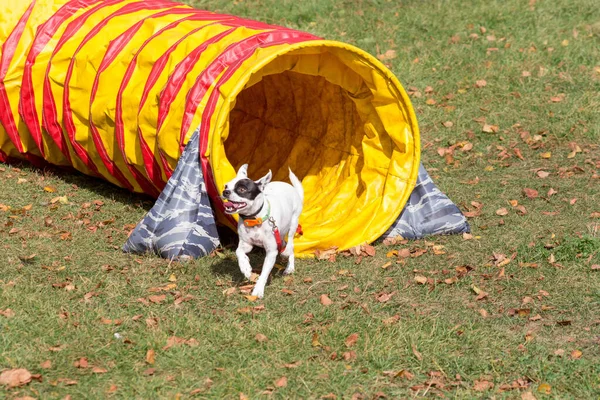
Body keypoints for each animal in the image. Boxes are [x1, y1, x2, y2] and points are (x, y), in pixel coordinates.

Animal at [221, 164, 302, 298]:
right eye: (226, 186)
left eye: (242, 189)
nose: (225, 192)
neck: (254, 219)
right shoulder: (246, 244)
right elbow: (239, 252)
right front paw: (246, 267)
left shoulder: (271, 252)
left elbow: (264, 273)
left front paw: (258, 289)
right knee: (285, 244)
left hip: (293, 223)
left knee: (290, 245)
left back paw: (289, 266)